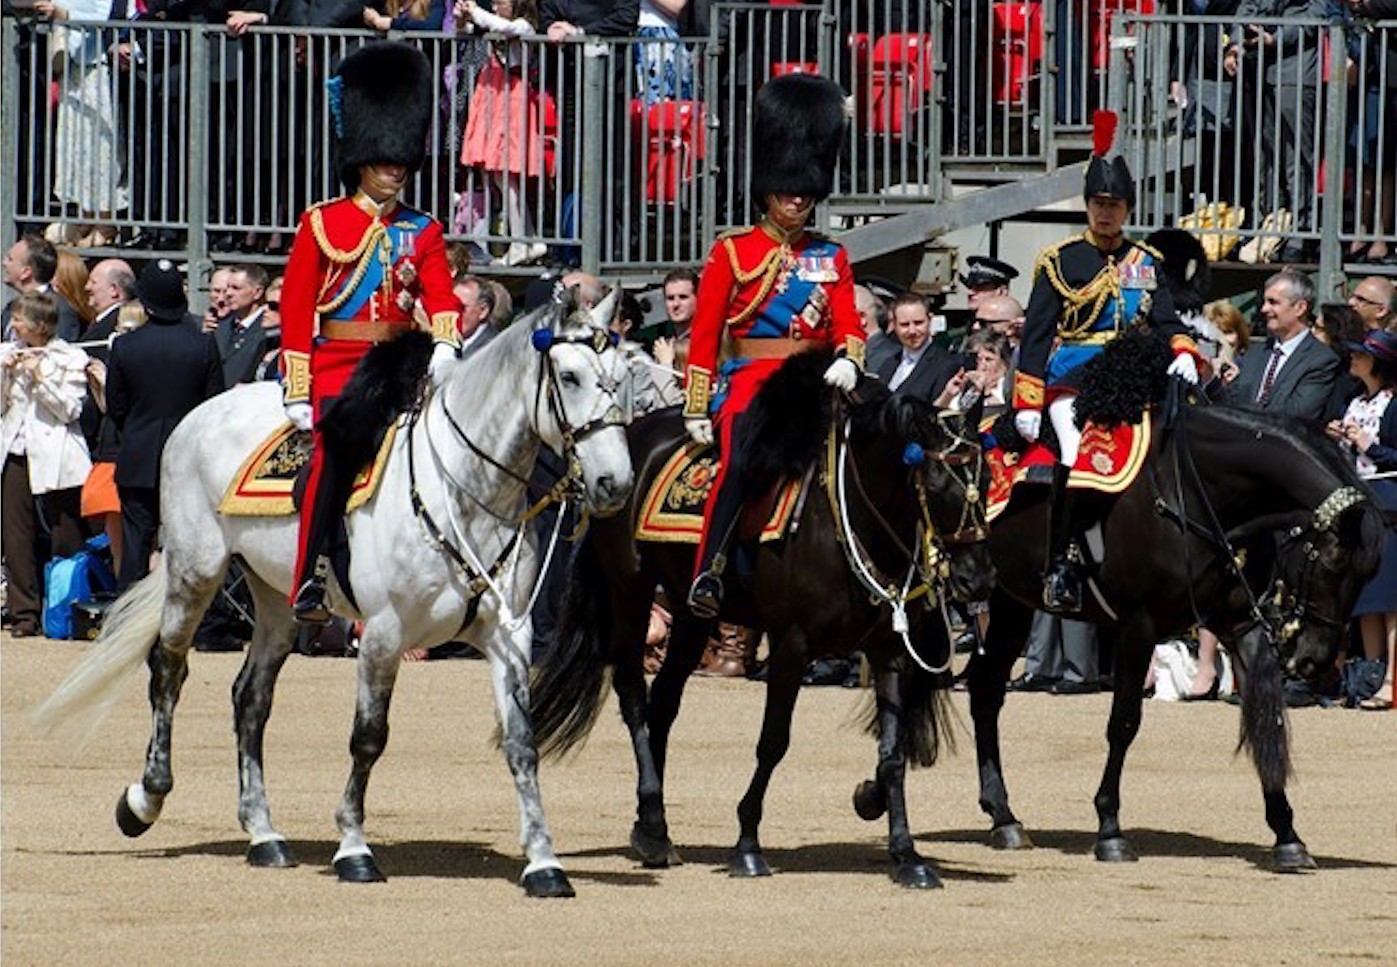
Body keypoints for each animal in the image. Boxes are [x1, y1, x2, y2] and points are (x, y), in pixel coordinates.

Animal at [31, 288, 635, 897]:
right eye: (569, 376)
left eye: (621, 376)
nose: (616, 484)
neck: (465, 492)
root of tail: (205, 410)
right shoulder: (384, 634)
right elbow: (368, 738)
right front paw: (353, 848)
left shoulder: (509, 637)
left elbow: (520, 743)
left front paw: (543, 861)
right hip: (194, 572)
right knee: (167, 671)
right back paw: (146, 798)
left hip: (275, 601)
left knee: (250, 698)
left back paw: (264, 833)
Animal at [530, 363, 996, 889]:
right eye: (936, 483)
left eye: (988, 477)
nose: (979, 578)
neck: (850, 518)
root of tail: (629, 435)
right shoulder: (791, 645)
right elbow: (773, 742)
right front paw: (747, 844)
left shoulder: (888, 649)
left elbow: (893, 756)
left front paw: (905, 851)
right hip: (631, 590)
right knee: (632, 693)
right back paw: (651, 816)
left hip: (691, 616)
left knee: (662, 704)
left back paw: (653, 829)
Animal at [925, 402, 1384, 870]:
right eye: (1333, 562)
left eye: (1369, 573)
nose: (1315, 660)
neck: (1197, 495)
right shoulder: (1137, 626)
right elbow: (1124, 723)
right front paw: (1110, 827)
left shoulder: (1242, 624)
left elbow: (1265, 718)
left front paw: (1287, 834)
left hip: (1008, 602)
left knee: (985, 691)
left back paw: (1003, 816)